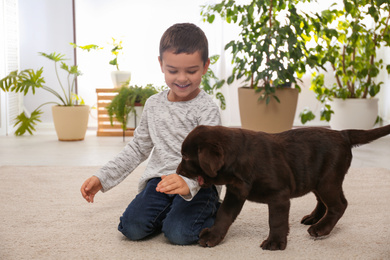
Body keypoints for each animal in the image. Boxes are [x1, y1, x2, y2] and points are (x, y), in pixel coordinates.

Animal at [177, 125, 390, 251]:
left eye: (186, 157)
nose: (178, 171)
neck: (239, 161)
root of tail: (342, 133)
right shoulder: (235, 193)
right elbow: (223, 216)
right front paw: (213, 236)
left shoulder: (278, 195)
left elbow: (276, 221)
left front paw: (275, 243)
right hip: (314, 177)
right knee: (323, 201)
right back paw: (314, 218)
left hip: (327, 180)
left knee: (339, 205)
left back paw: (321, 228)